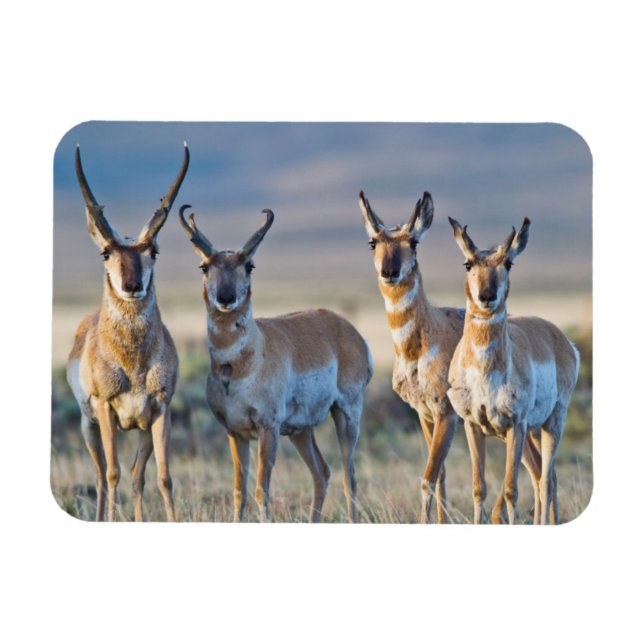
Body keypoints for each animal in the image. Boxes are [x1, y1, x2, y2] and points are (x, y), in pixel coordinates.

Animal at [66, 144, 189, 521]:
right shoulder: (106, 410)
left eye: (153, 251)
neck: (133, 364)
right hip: (88, 426)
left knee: (137, 476)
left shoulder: (160, 411)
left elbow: (162, 477)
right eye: (106, 252)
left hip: (140, 430)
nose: (132, 286)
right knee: (101, 476)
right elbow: (112, 473)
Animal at [179, 205, 373, 523]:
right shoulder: (235, 432)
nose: (226, 298)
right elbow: (239, 492)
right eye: (204, 266)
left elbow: (261, 490)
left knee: (350, 477)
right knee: (322, 473)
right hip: (301, 430)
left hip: (346, 415)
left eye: (249, 266)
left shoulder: (268, 429)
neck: (241, 364)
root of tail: (347, 329)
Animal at [447, 217, 579, 524]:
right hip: (532, 432)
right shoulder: (473, 425)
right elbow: (478, 487)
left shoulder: (515, 425)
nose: (487, 296)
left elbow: (510, 489)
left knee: (546, 479)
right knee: (542, 475)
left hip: (552, 423)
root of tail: (559, 336)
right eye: (467, 263)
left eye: (508, 263)